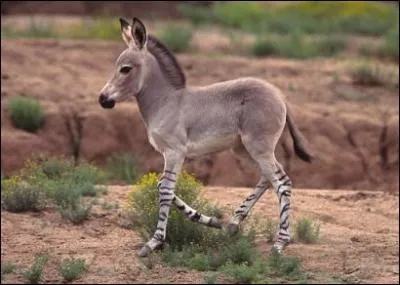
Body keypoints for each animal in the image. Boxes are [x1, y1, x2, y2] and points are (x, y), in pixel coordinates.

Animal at [97, 17, 312, 258]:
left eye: (125, 69)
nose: (102, 99)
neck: (166, 102)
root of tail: (280, 95)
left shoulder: (174, 152)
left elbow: (165, 189)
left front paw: (154, 242)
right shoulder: (171, 154)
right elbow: (162, 185)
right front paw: (208, 220)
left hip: (258, 147)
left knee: (282, 182)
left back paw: (280, 243)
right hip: (244, 149)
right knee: (268, 178)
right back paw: (233, 223)